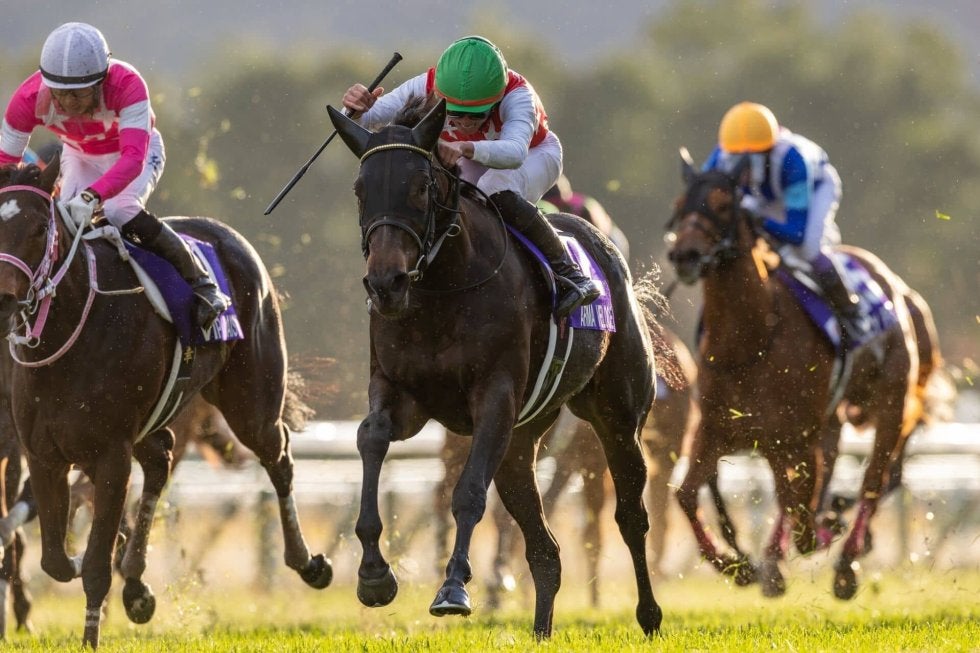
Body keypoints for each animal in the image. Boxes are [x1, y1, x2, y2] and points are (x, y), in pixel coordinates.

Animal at [0, 160, 331, 648]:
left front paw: (90, 635)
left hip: (251, 401)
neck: (69, 333)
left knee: (279, 455)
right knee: (161, 459)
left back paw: (307, 562)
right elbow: (55, 559)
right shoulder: (42, 454)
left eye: (41, 227)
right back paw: (136, 584)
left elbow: (93, 563)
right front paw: (96, 571)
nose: (4, 301)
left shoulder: (110, 454)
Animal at [327, 96, 669, 637]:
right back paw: (541, 631)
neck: (442, 288)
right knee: (546, 549)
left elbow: (468, 493)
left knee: (631, 517)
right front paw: (374, 574)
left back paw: (649, 615)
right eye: (361, 190)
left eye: (420, 187)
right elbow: (371, 437)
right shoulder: (401, 394)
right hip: (521, 443)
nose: (385, 283)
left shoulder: (495, 398)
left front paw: (452, 588)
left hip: (616, 417)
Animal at [665, 150, 939, 599]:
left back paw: (844, 561)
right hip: (828, 422)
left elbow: (801, 515)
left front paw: (820, 533)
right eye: (679, 205)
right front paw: (737, 566)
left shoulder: (790, 437)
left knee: (875, 478)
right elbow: (687, 496)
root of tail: (903, 293)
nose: (684, 255)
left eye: (722, 204)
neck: (752, 339)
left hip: (891, 403)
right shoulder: (718, 430)